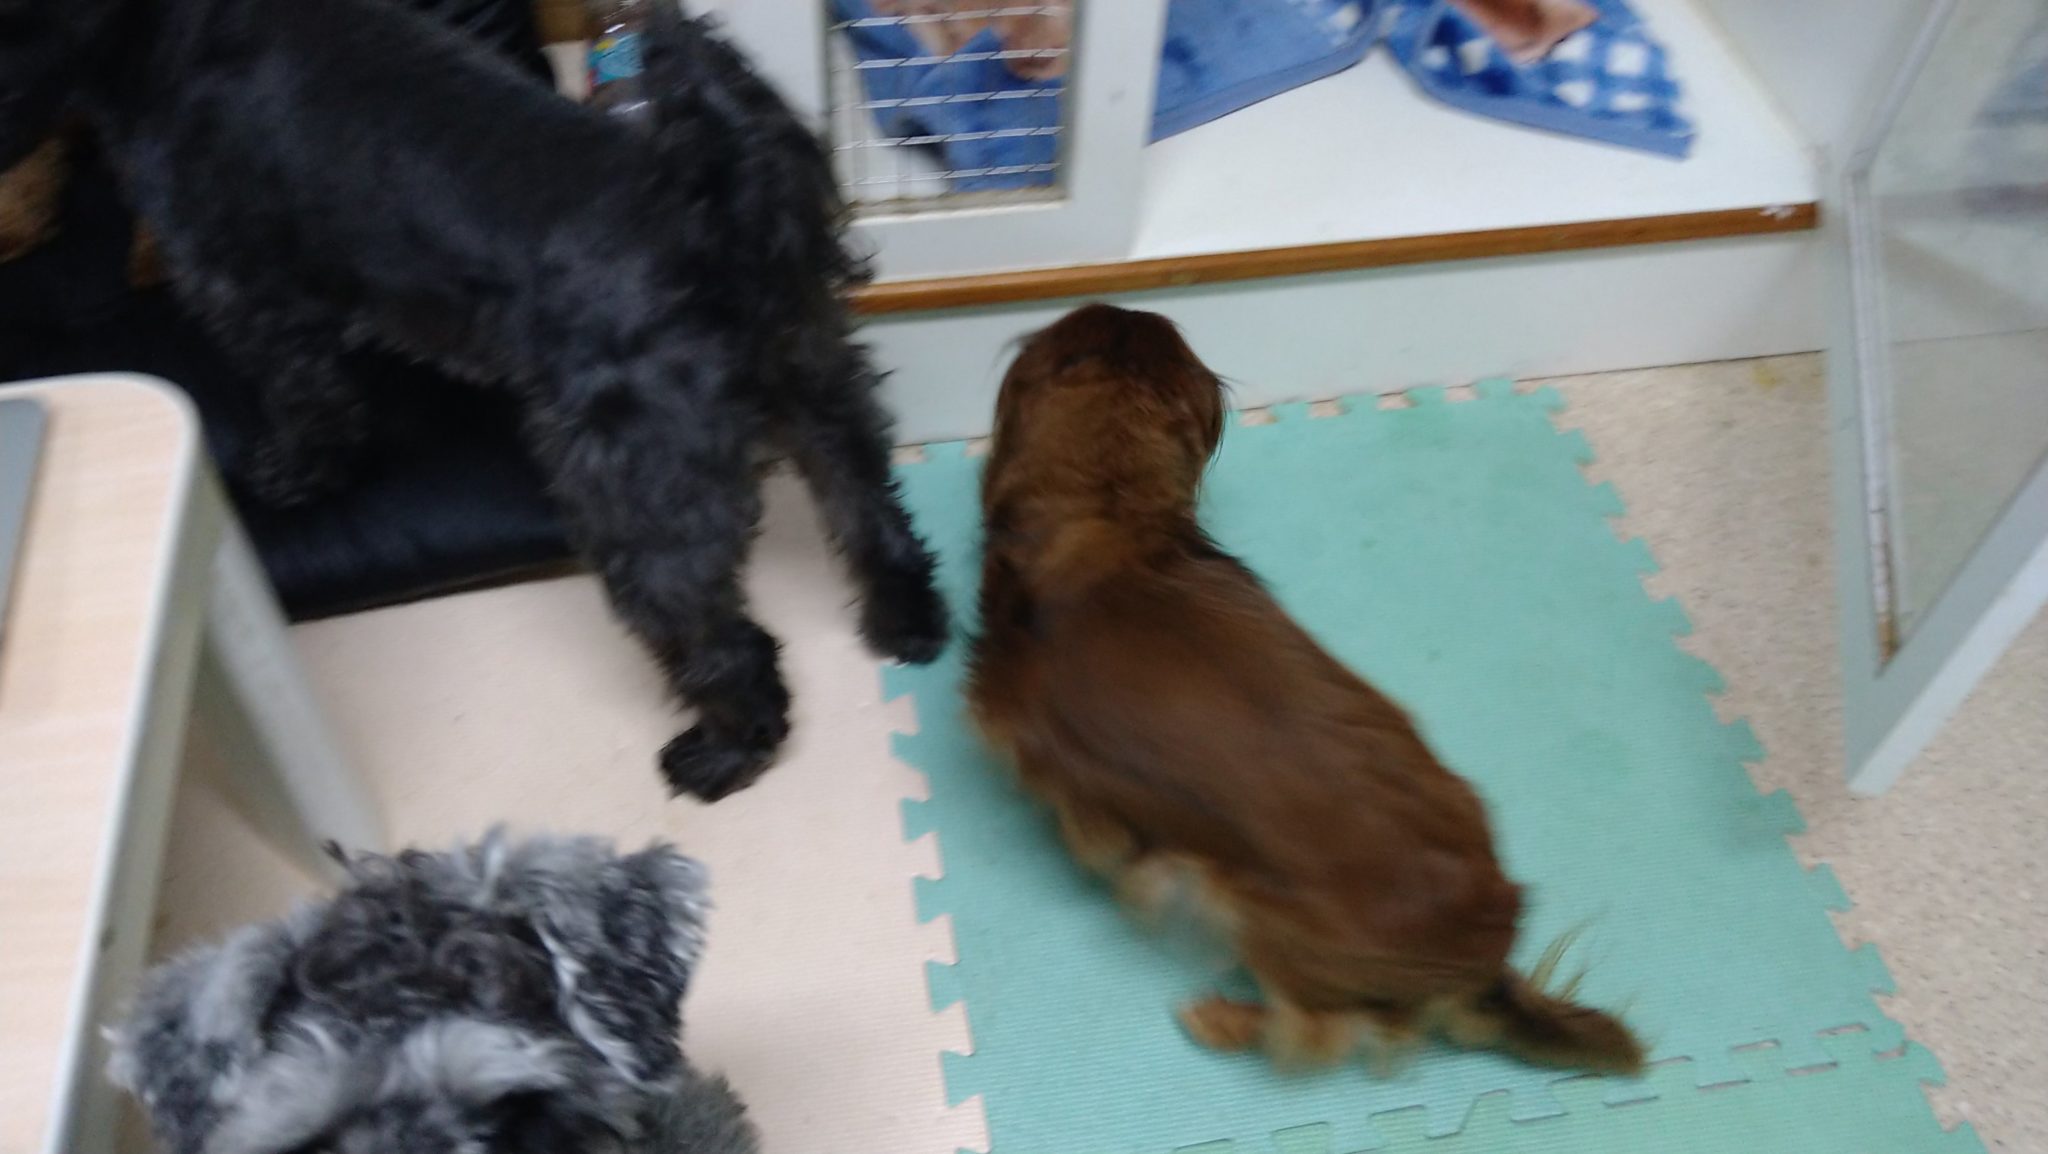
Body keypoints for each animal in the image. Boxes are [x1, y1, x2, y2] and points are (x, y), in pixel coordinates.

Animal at [0, 0, 947, 800]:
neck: (170, 30)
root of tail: (711, 216)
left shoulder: (251, 294)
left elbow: (307, 397)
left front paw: (300, 471)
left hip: (634, 492)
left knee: (724, 639)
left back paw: (723, 752)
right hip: (813, 375)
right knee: (865, 493)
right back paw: (906, 617)